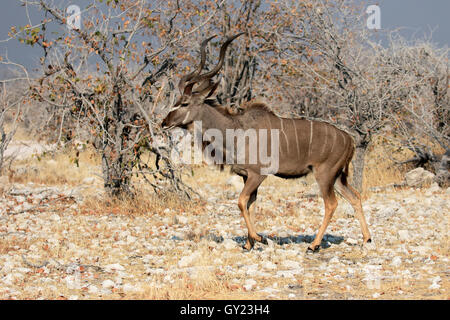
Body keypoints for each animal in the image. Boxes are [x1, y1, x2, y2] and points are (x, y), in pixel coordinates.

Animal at [162, 34, 372, 252]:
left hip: (324, 174)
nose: (164, 123)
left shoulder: (257, 175)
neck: (236, 131)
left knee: (331, 204)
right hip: (337, 177)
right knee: (355, 197)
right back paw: (366, 239)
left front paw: (259, 238)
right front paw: (249, 243)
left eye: (184, 103)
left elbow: (241, 202)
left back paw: (314, 245)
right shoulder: (247, 177)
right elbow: (250, 204)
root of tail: (349, 139)